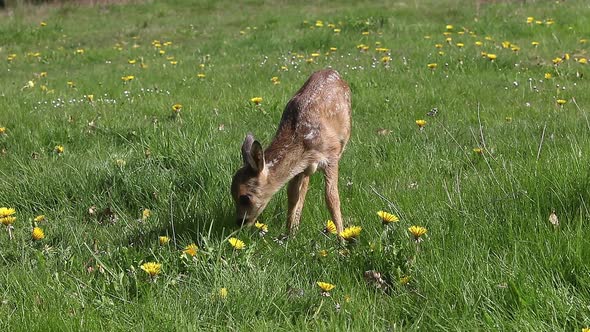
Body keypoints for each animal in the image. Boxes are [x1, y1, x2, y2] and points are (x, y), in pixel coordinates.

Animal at [231, 68, 352, 233]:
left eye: (245, 197)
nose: (240, 222)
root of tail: (331, 70)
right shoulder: (299, 167)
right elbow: (292, 194)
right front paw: (289, 233)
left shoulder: (331, 157)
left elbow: (331, 197)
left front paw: (341, 236)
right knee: (304, 186)